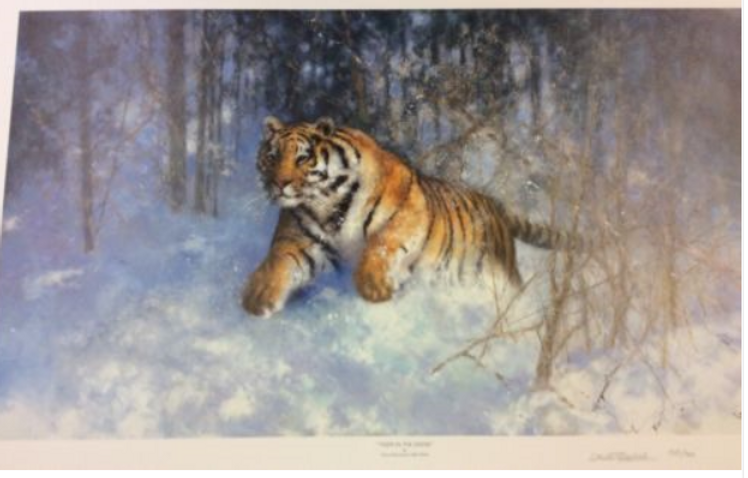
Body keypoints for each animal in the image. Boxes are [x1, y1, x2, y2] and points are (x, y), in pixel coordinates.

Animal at [242, 116, 584, 317]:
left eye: (302, 158)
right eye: (272, 156)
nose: (279, 184)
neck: (326, 203)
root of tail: (496, 206)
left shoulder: (404, 216)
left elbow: (380, 245)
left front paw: (375, 287)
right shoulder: (299, 239)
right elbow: (280, 262)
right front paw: (257, 297)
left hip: (499, 274)